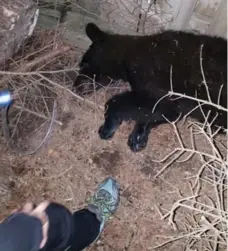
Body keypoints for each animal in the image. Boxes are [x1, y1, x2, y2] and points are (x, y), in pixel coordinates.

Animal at [74, 23, 227, 152]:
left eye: (84, 64)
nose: (75, 86)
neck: (128, 55)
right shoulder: (176, 102)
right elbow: (164, 113)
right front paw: (139, 136)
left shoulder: (159, 87)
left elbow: (119, 103)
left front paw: (108, 127)